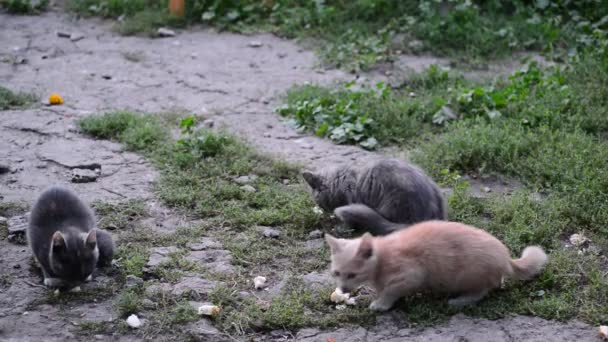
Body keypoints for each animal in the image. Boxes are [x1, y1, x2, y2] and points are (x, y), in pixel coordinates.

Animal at [326, 220, 548, 312]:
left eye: (352, 275)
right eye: (336, 273)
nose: (343, 289)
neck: (381, 258)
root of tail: (505, 257)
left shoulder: (413, 273)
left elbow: (391, 289)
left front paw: (381, 303)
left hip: (468, 274)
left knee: (483, 290)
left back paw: (461, 300)